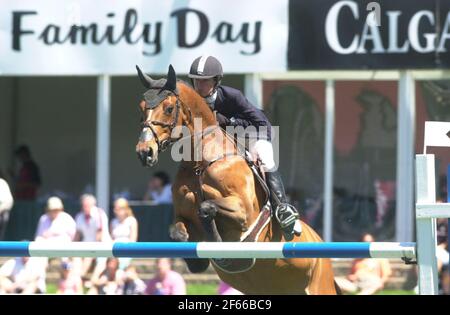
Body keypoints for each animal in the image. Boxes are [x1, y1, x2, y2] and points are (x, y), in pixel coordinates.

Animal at [135, 65, 340, 296]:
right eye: (142, 108)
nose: (144, 152)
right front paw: (198, 262)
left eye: (169, 108)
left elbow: (206, 207)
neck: (200, 163)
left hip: (320, 286)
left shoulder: (242, 212)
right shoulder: (182, 214)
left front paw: (217, 244)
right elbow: (176, 232)